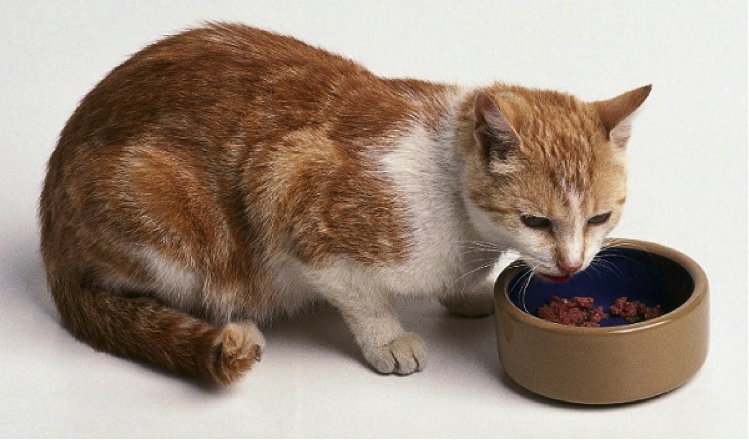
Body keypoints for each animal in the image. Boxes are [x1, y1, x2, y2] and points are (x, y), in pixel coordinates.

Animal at [39, 22, 648, 384]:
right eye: (535, 220)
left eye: (599, 217)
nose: (572, 264)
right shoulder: (290, 192)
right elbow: (363, 297)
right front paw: (389, 338)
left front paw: (466, 292)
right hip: (160, 202)